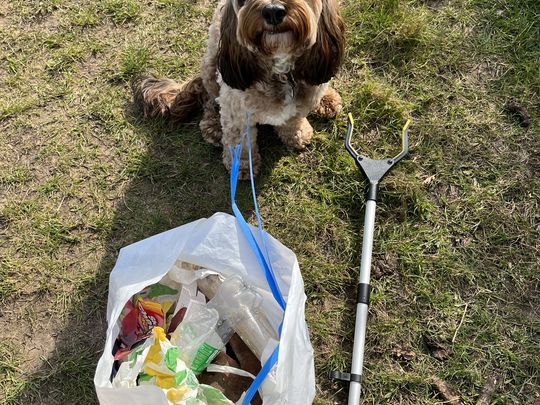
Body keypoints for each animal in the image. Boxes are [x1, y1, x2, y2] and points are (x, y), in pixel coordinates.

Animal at [135, 0, 346, 177]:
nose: (273, 11)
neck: (280, 70)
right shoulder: (236, 112)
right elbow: (240, 144)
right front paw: (242, 167)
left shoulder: (302, 98)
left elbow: (293, 119)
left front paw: (296, 134)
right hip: (211, 66)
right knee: (209, 100)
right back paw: (213, 126)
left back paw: (327, 99)